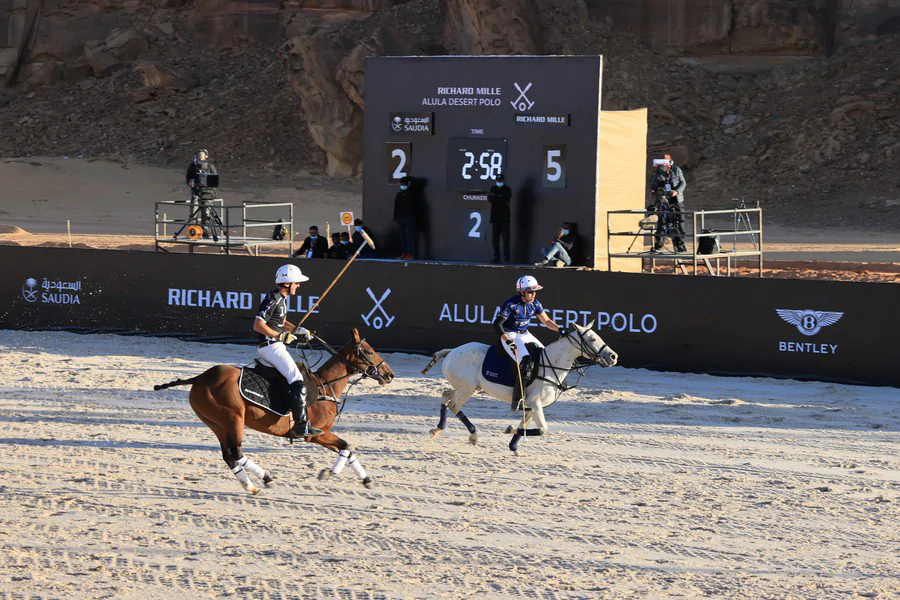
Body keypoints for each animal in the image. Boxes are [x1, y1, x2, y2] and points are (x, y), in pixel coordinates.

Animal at [155, 328, 394, 492]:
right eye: (369, 351)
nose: (389, 374)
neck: (325, 386)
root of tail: (200, 378)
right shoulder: (315, 434)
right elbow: (344, 445)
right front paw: (329, 473)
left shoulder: (322, 434)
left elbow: (347, 447)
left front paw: (365, 479)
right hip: (233, 419)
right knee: (236, 452)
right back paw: (263, 479)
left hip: (217, 424)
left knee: (229, 456)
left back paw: (253, 485)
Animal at [422, 322, 620, 452]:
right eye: (592, 338)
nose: (613, 357)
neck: (552, 365)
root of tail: (451, 351)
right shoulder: (535, 402)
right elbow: (542, 429)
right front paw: (509, 430)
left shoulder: (532, 405)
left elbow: (526, 425)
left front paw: (513, 446)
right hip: (466, 388)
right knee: (453, 405)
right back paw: (473, 435)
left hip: (469, 387)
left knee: (446, 395)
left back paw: (437, 429)